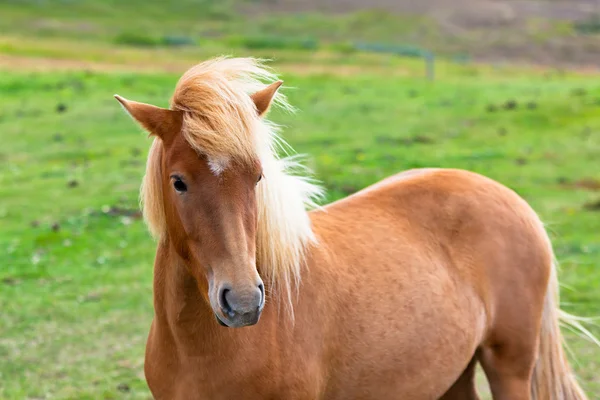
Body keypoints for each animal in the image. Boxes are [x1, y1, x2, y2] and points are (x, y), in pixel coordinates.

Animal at [116, 57, 596, 400]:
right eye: (178, 181)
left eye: (257, 177)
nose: (245, 302)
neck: (200, 347)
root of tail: (513, 201)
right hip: (450, 373)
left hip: (509, 364)